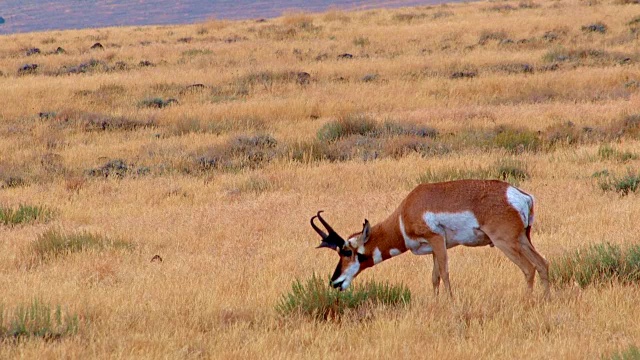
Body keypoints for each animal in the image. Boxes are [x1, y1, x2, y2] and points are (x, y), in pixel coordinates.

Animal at [312, 179, 552, 296]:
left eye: (347, 252)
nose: (334, 282)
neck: (404, 214)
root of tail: (519, 194)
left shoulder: (437, 241)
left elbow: (444, 274)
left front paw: (451, 304)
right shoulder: (435, 249)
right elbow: (435, 278)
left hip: (506, 242)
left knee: (528, 269)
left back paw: (526, 303)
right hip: (522, 239)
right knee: (542, 264)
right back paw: (544, 301)